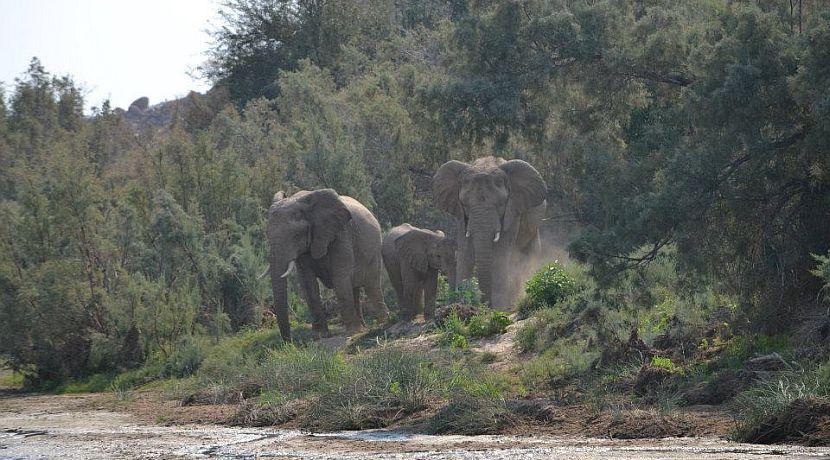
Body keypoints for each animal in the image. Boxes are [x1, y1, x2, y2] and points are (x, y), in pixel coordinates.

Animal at [266, 188, 388, 341]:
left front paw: (351, 333)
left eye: (296, 235)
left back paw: (381, 323)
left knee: (371, 286)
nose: (290, 342)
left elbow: (340, 278)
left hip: (374, 251)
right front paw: (319, 336)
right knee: (354, 288)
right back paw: (363, 328)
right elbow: (308, 283)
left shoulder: (341, 236)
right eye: (267, 235)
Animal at [433, 156, 546, 308]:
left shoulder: (512, 210)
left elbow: (500, 251)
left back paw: (514, 300)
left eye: (501, 205)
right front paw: (461, 302)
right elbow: (465, 249)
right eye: (465, 205)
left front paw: (499, 307)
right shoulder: (461, 215)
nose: (484, 304)